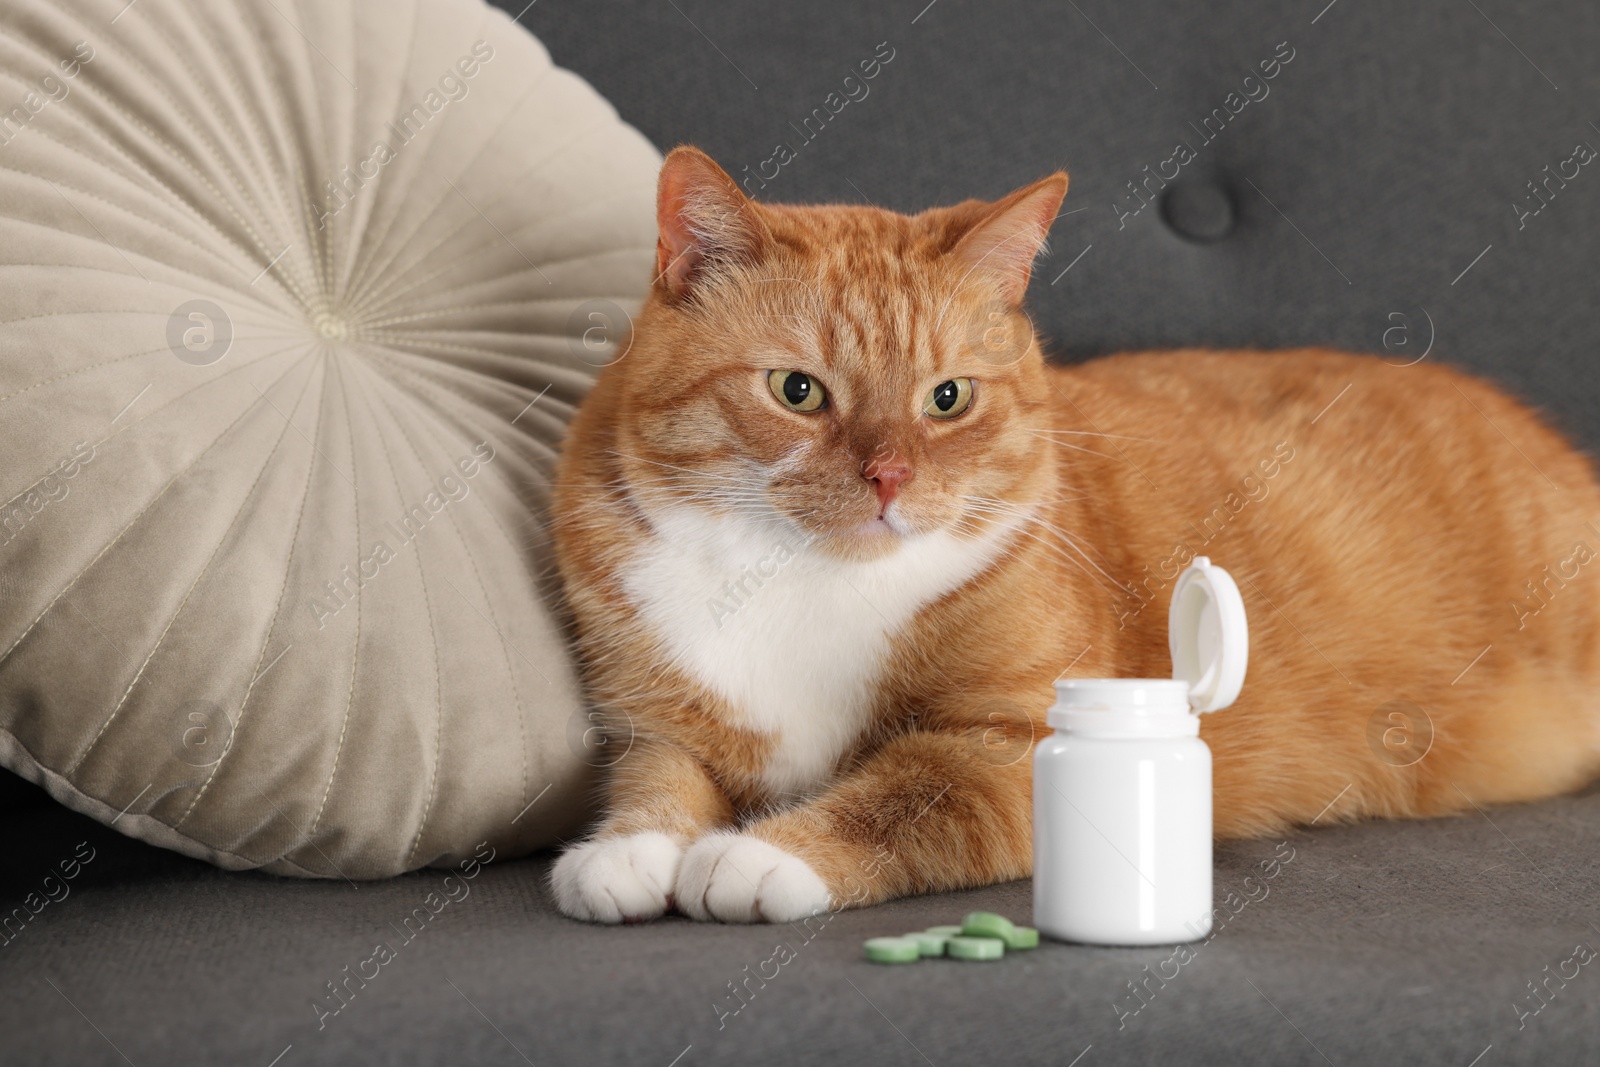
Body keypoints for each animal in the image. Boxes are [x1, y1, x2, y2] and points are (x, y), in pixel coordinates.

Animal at [547, 146, 1600, 921]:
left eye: (948, 398)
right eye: (796, 390)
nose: (889, 478)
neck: (803, 581)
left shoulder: (1009, 748)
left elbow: (906, 791)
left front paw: (760, 856)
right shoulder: (653, 716)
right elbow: (658, 773)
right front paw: (630, 850)